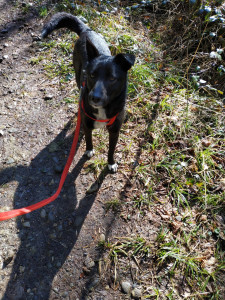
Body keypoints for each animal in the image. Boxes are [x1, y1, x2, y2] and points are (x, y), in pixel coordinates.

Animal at [41, 12, 135, 171]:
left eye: (112, 78)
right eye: (92, 75)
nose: (94, 98)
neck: (104, 109)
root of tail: (87, 30)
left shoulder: (115, 131)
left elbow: (111, 149)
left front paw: (111, 163)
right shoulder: (86, 124)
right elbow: (89, 139)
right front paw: (89, 150)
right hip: (77, 76)